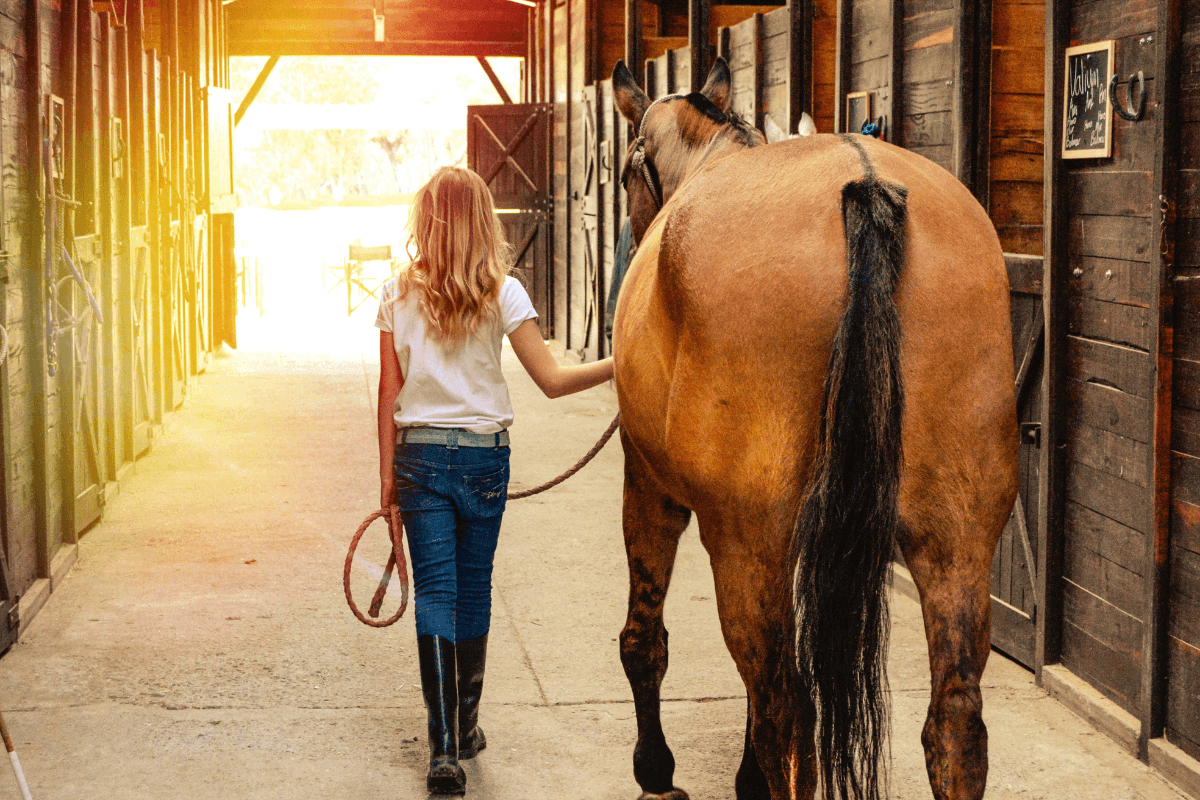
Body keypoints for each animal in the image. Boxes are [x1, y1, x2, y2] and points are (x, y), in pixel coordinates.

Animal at [608, 57, 1018, 800]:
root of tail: (865, 185)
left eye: (627, 172)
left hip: (746, 542)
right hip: (958, 540)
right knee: (954, 722)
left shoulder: (649, 485)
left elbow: (643, 640)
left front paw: (655, 769)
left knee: (787, 711)